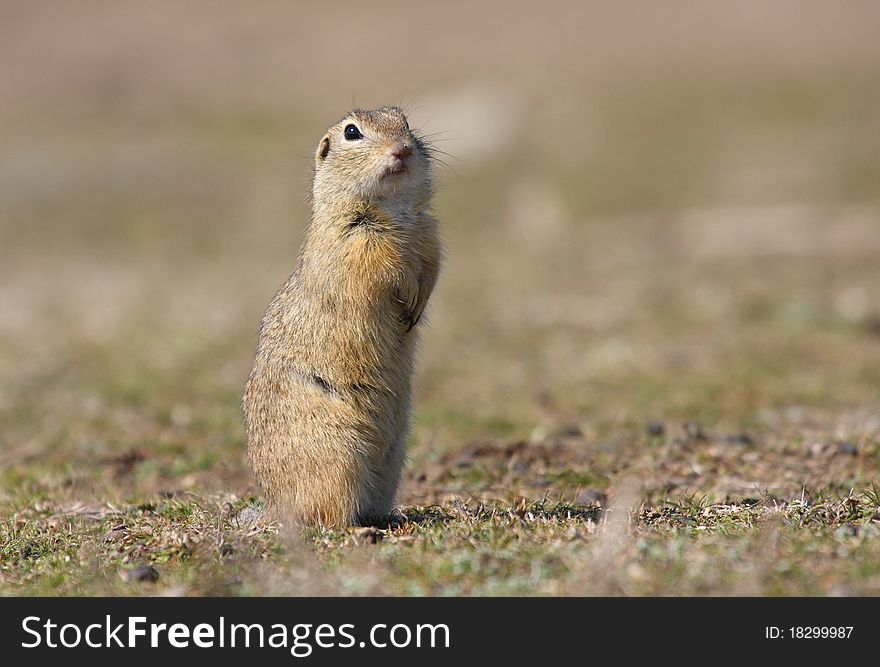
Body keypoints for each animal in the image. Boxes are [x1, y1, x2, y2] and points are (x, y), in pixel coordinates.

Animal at [242, 107, 440, 528]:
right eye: (352, 132)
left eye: (406, 123)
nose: (402, 150)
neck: (393, 209)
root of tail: (274, 505)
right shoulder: (356, 242)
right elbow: (384, 270)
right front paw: (405, 301)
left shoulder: (431, 235)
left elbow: (431, 270)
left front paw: (416, 309)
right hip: (338, 458)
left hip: (393, 458)